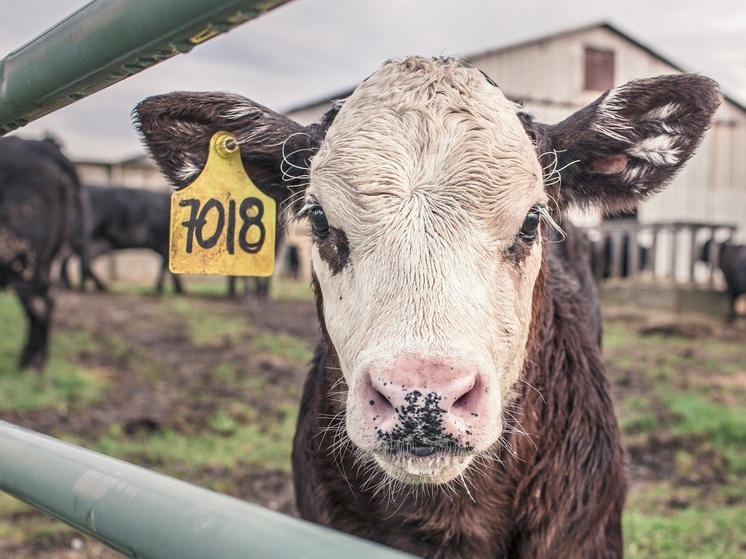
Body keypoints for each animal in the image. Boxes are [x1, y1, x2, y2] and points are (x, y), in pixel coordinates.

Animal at [0, 137, 81, 370]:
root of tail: (42, 145)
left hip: (20, 257)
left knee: (38, 303)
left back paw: (31, 362)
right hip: (49, 258)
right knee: (47, 298)